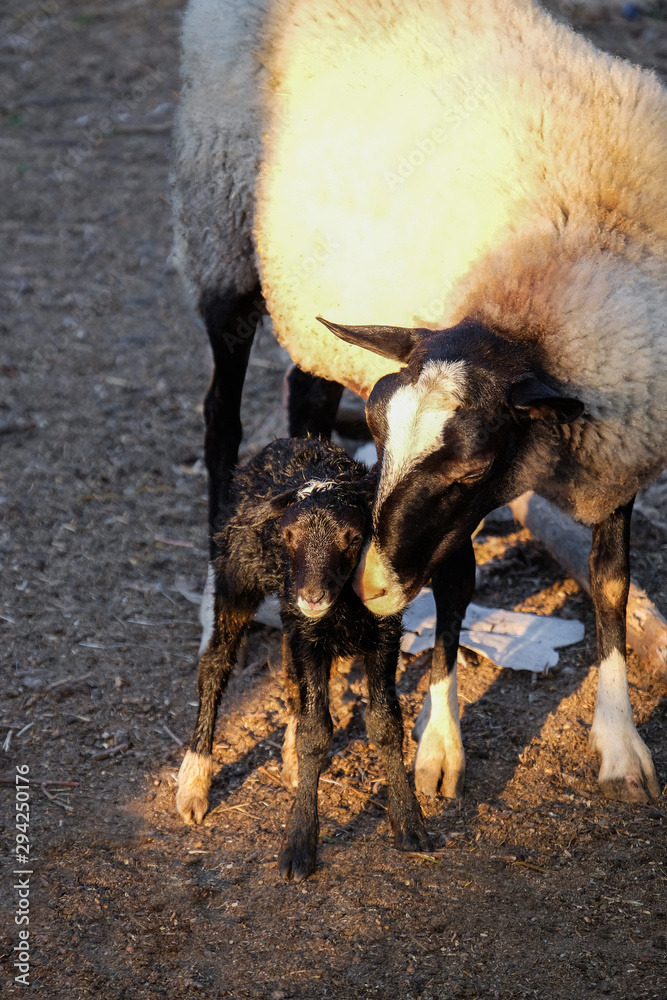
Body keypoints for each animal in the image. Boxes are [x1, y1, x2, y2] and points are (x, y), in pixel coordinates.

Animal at [171, 0, 667, 800]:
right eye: (379, 434)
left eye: (469, 467)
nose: (369, 585)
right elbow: (456, 589)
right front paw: (439, 747)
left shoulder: (615, 459)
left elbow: (612, 585)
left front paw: (620, 746)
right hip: (218, 225)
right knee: (220, 416)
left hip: (310, 308)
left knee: (303, 397)